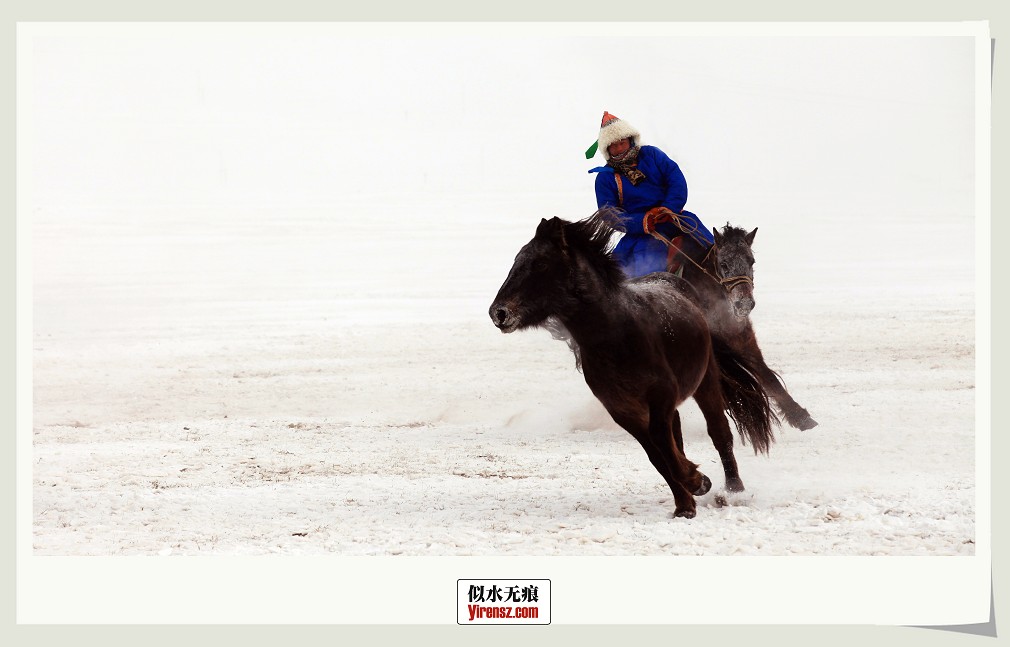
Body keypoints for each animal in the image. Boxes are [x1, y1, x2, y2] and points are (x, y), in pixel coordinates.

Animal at [486, 209, 771, 516]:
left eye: (540, 263)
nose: (498, 312)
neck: (616, 333)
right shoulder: (622, 409)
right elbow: (656, 455)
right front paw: (685, 502)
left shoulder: (661, 393)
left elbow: (661, 439)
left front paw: (698, 481)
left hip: (705, 379)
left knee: (719, 432)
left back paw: (735, 491)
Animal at [670, 224, 820, 432]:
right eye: (724, 264)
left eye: (752, 261)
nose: (745, 304)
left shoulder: (744, 337)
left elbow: (766, 375)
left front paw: (800, 416)